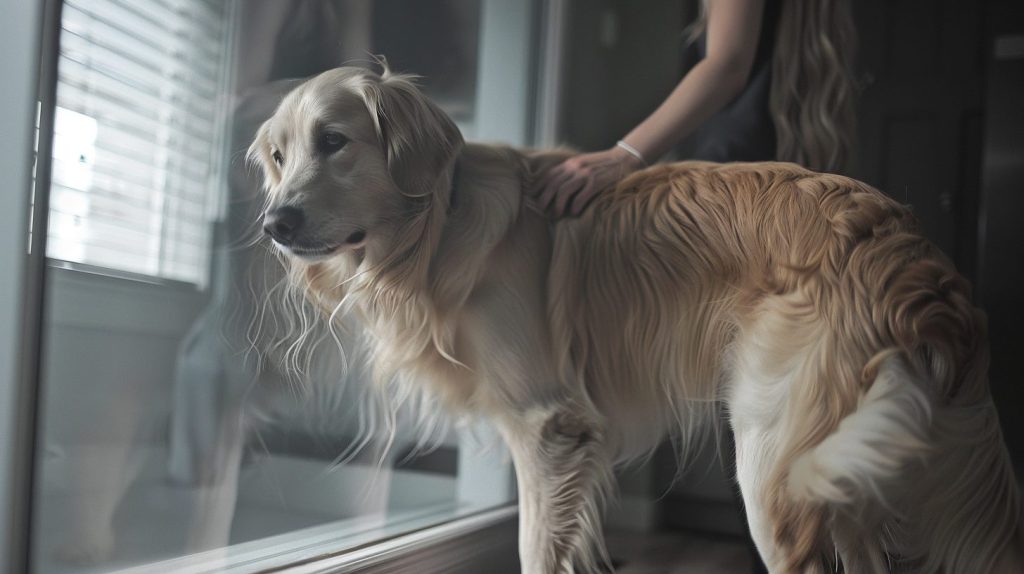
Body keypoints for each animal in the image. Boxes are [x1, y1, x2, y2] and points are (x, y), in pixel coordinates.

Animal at [249, 64, 1024, 568]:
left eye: (334, 141)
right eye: (279, 157)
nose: (273, 224)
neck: (437, 228)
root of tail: (915, 259)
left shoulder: (549, 426)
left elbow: (537, 550)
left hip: (776, 464)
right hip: (838, 471)